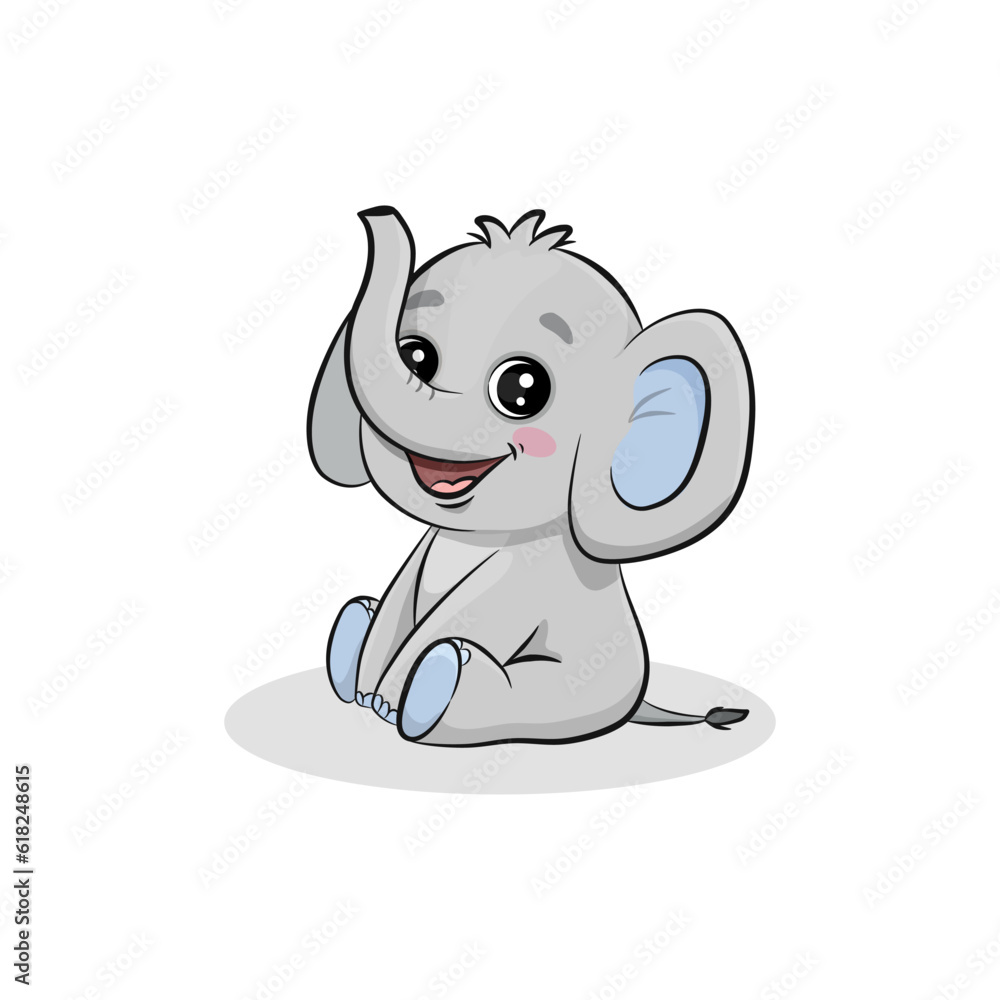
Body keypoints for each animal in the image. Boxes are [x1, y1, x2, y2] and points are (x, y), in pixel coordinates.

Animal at [306, 205, 754, 747]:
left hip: (573, 691)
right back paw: (354, 627)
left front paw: (387, 702)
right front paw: (367, 693)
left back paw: (437, 682)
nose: (376, 214)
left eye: (522, 388)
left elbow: (472, 614)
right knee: (371, 612)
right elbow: (396, 603)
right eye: (417, 356)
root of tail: (640, 700)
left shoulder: (526, 577)